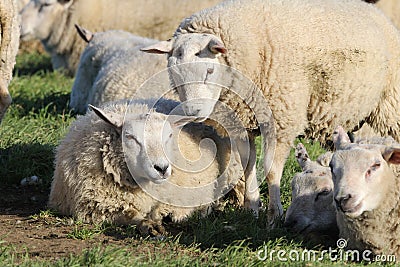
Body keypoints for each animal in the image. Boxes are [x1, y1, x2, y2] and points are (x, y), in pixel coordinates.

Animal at [48, 98, 245, 237]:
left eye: (170, 136)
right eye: (130, 137)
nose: (162, 168)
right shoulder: (96, 208)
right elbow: (129, 215)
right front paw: (148, 225)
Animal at [142, 0, 400, 226]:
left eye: (209, 70)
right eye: (174, 74)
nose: (193, 112)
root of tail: (374, 11)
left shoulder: (280, 119)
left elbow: (272, 171)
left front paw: (274, 216)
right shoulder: (240, 122)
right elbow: (247, 163)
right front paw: (252, 207)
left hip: (390, 103)